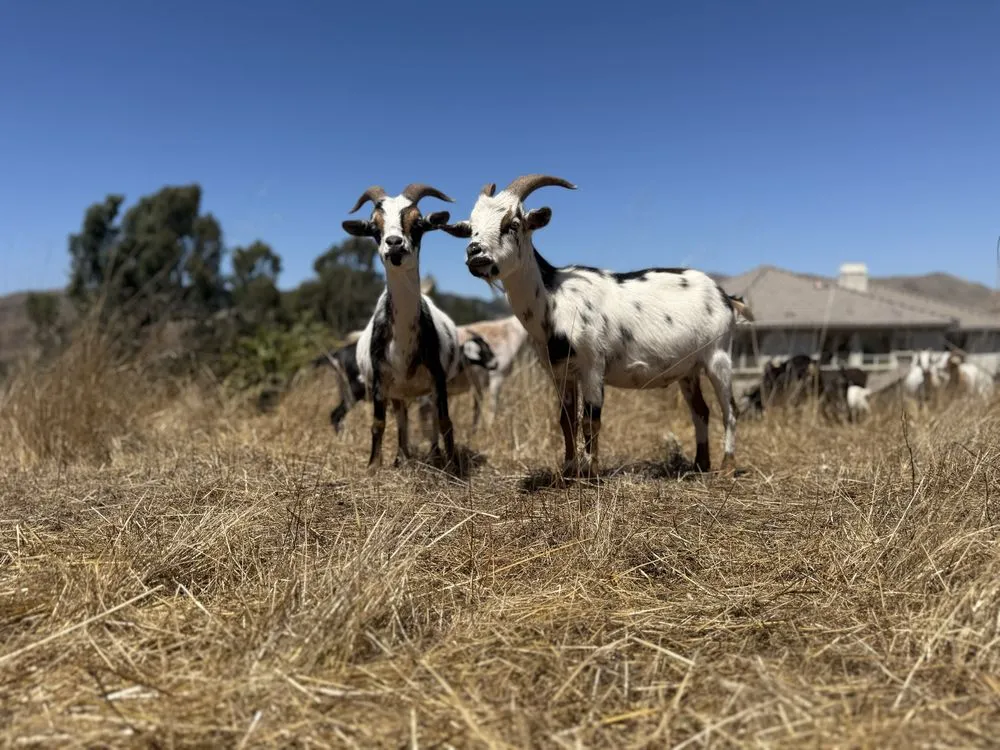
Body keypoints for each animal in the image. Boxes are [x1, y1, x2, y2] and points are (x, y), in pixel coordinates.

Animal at [341, 182, 464, 470]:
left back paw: (433, 456)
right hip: (398, 391)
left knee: (428, 419)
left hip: (423, 391)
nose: (394, 243)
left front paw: (452, 467)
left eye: (417, 222)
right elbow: (378, 423)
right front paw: (373, 467)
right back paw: (401, 458)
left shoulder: (438, 380)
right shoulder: (379, 383)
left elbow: (445, 421)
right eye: (374, 227)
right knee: (401, 418)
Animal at [441, 174, 752, 476]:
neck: (553, 300)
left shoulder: (592, 365)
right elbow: (566, 420)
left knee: (730, 410)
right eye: (471, 228)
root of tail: (726, 297)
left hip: (718, 357)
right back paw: (700, 465)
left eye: (513, 224)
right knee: (701, 411)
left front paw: (590, 473)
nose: (475, 254)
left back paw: (727, 467)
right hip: (689, 370)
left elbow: (591, 420)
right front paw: (568, 471)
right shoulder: (560, 372)